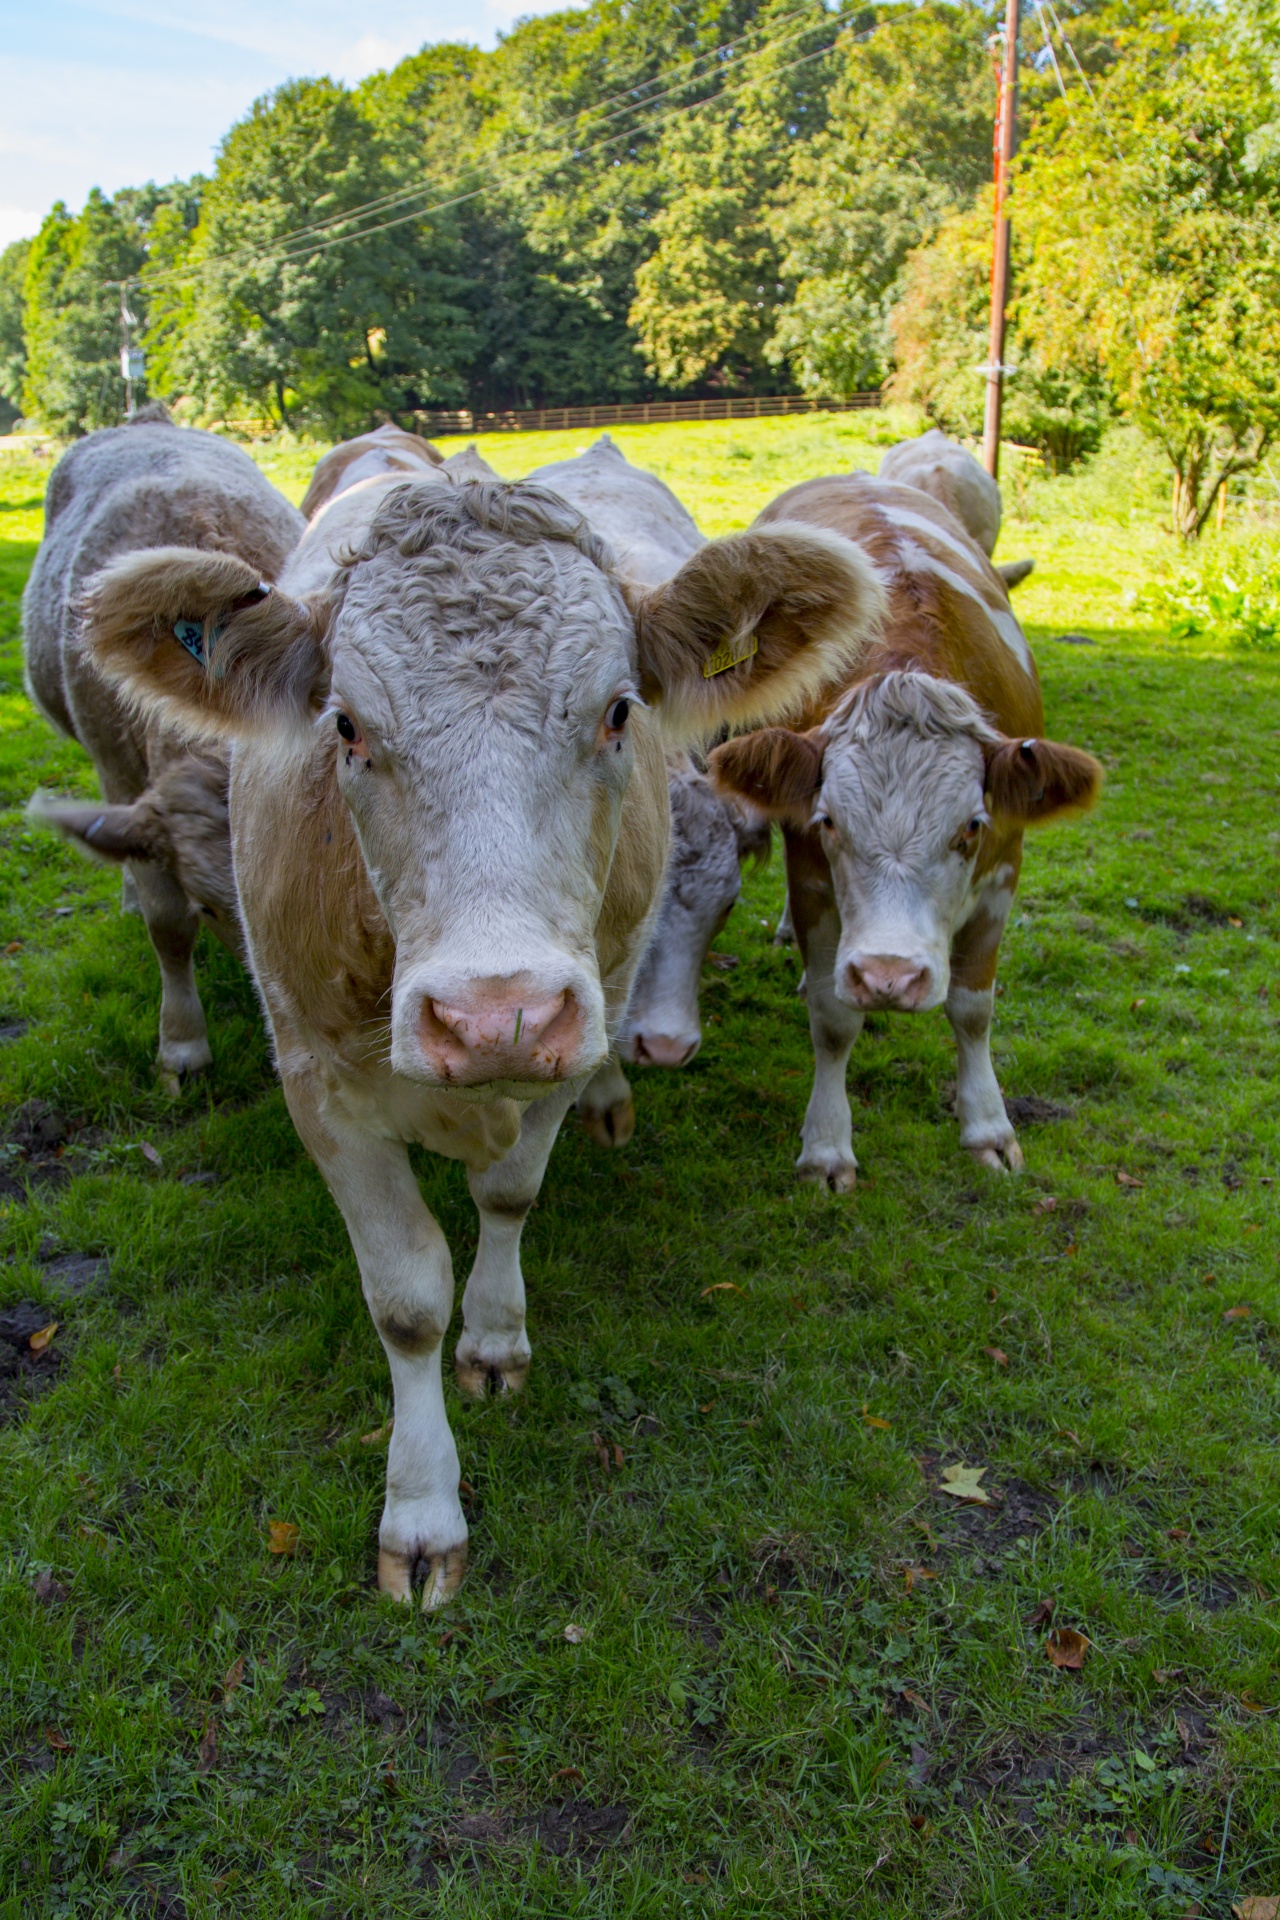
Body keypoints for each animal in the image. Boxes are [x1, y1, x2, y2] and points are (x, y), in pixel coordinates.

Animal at [77, 472, 882, 1597]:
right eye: (346, 725)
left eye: (619, 710)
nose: (493, 1015)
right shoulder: (316, 1084)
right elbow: (406, 1297)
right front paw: (421, 1509)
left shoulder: (568, 1034)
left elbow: (506, 1195)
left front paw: (496, 1339)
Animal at [710, 468, 1105, 1182]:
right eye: (830, 822)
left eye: (971, 826)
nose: (888, 977)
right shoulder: (812, 876)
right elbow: (834, 1017)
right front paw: (827, 1145)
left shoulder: (1004, 870)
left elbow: (973, 1008)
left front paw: (987, 1127)